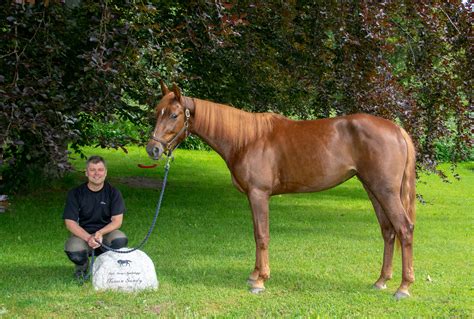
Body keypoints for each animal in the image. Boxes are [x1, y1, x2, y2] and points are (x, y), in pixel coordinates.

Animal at [146, 82, 416, 300]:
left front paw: (260, 281)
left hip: (385, 191)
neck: (246, 139)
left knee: (404, 229)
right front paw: (254, 274)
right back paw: (381, 281)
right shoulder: (253, 197)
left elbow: (262, 235)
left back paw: (403, 288)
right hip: (373, 190)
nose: (153, 149)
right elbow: (256, 233)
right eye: (156, 112)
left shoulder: (259, 194)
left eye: (174, 115)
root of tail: (397, 130)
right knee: (388, 231)